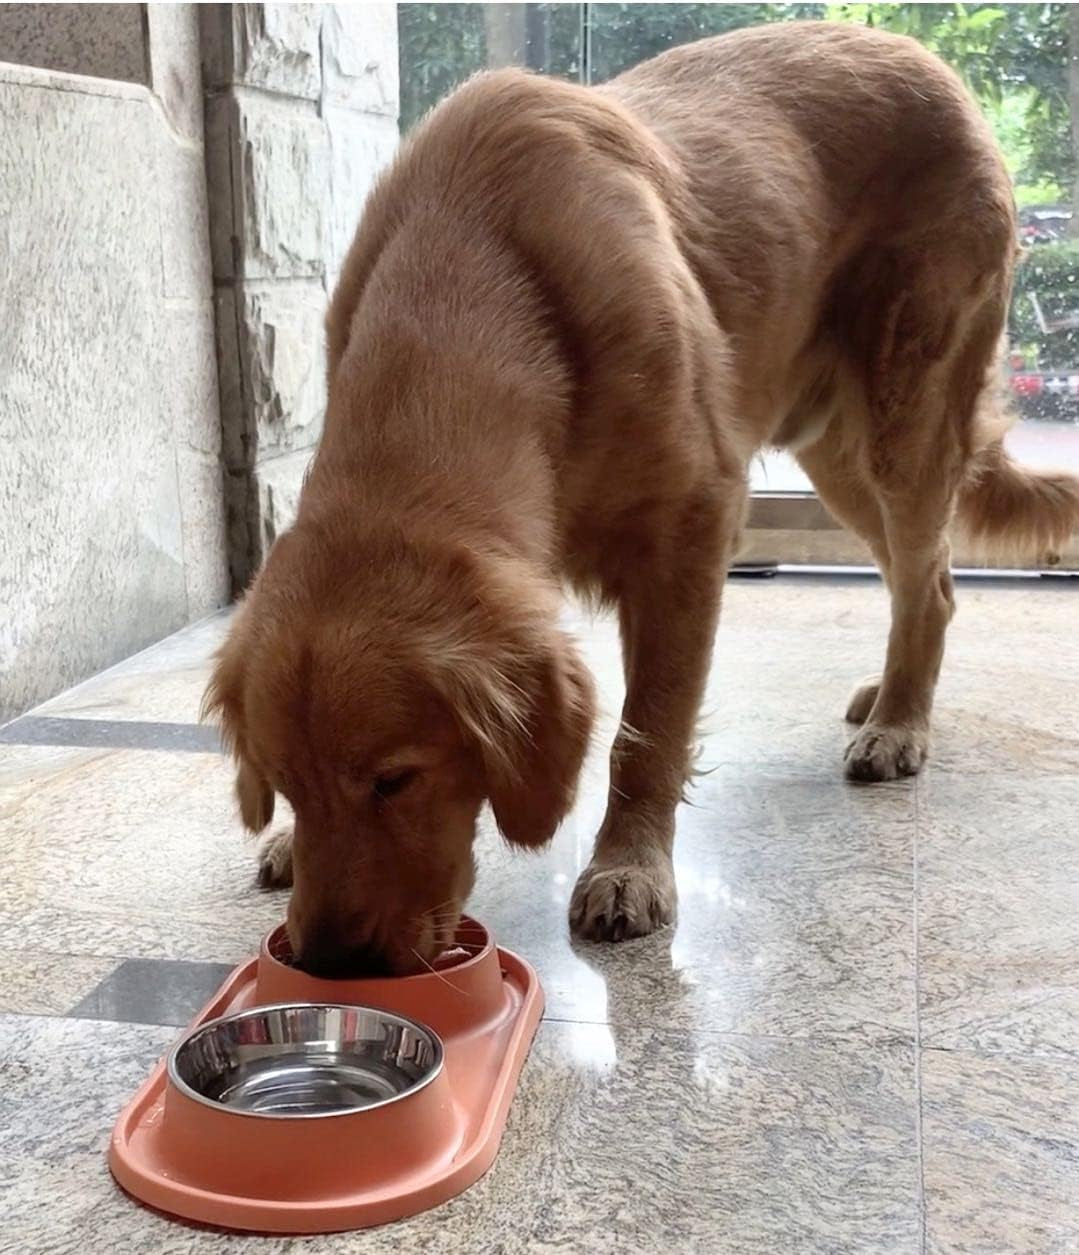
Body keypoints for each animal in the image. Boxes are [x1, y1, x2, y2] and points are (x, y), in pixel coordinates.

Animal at [204, 24, 1079, 973]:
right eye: (284, 781)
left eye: (395, 778)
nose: (331, 963)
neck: (470, 281)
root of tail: (925, 59)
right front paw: (287, 845)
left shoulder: (690, 527)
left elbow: (647, 731)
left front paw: (628, 867)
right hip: (837, 458)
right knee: (927, 580)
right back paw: (885, 694)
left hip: (903, 420)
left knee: (931, 584)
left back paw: (900, 724)